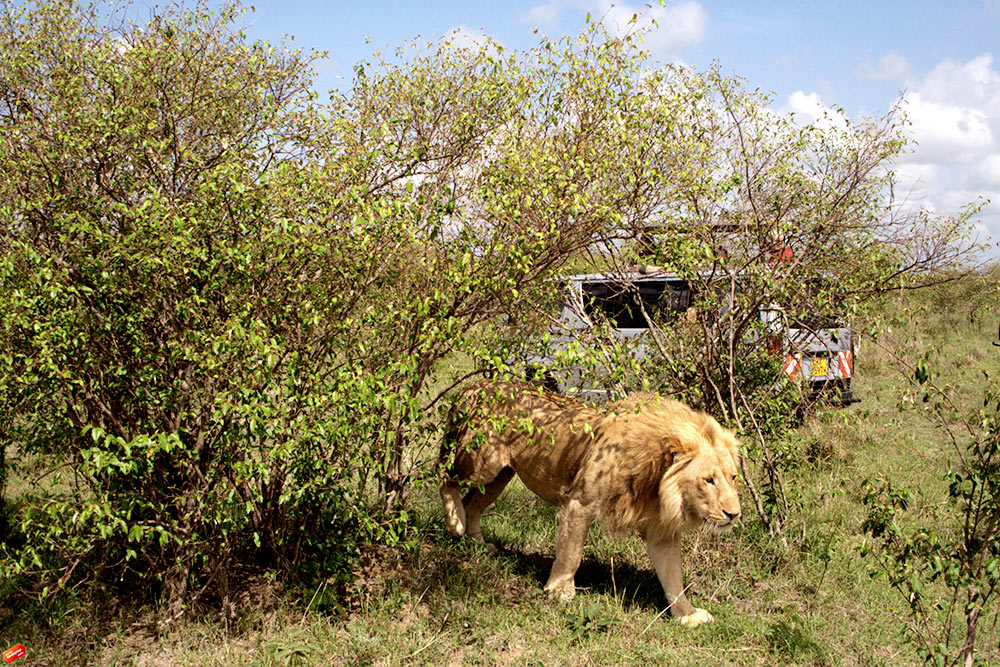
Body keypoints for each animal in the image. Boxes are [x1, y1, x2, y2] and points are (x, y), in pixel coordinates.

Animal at [440, 380, 744, 628]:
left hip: (500, 476)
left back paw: (476, 542)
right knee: (444, 475)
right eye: (708, 480)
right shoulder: (579, 503)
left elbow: (673, 577)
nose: (734, 514)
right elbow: (571, 553)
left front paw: (687, 614)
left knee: (472, 502)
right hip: (482, 462)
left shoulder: (661, 531)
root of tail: (473, 387)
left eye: (733, 477)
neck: (655, 482)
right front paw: (559, 591)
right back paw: (455, 523)